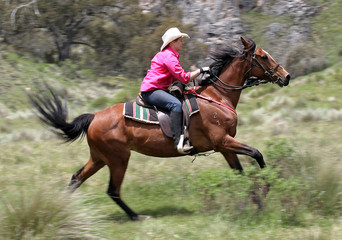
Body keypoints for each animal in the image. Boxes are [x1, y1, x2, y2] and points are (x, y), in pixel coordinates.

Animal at [30, 36, 292, 220]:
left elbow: (240, 172)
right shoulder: (223, 141)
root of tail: (94, 117)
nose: (286, 76)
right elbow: (257, 154)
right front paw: (267, 189)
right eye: (263, 56)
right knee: (113, 190)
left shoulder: (226, 148)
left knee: (76, 178)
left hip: (99, 158)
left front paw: (257, 202)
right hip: (118, 158)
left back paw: (63, 208)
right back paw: (136, 216)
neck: (217, 96)